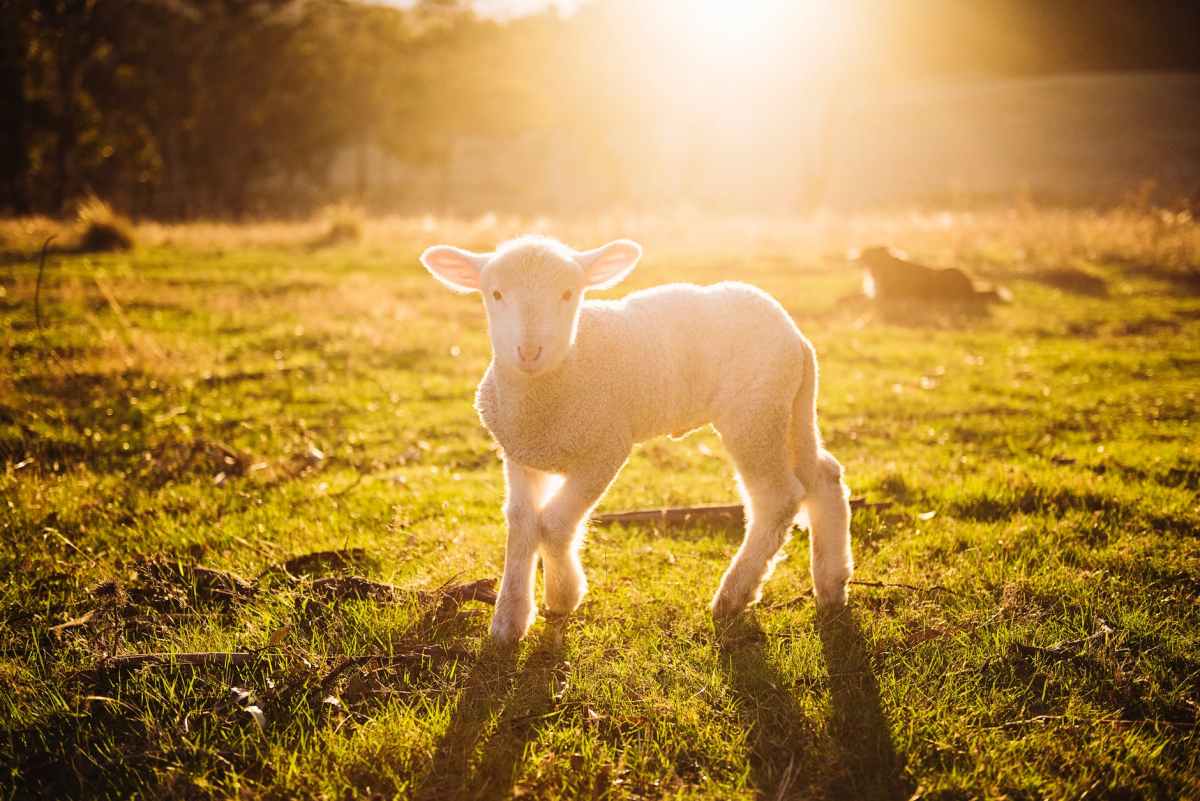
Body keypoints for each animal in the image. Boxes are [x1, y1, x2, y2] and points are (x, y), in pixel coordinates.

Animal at [420, 235, 853, 644]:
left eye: (568, 293)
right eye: (495, 293)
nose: (528, 351)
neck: (553, 384)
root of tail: (795, 335)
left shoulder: (605, 448)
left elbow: (554, 523)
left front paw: (563, 595)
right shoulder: (520, 454)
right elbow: (522, 522)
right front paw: (509, 620)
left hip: (754, 414)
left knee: (777, 499)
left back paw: (734, 595)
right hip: (789, 408)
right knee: (824, 476)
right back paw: (832, 583)